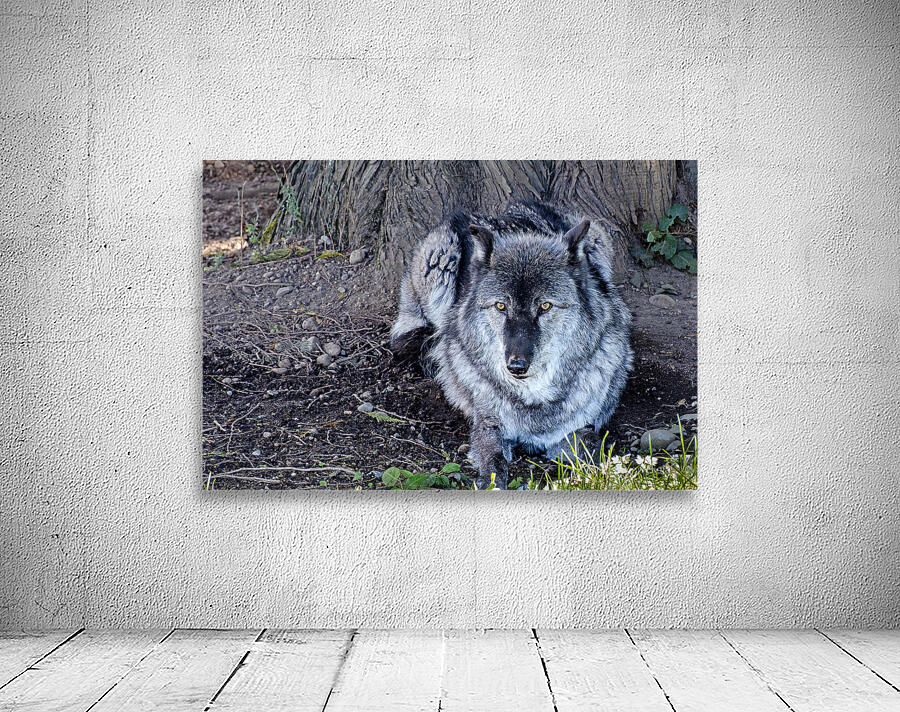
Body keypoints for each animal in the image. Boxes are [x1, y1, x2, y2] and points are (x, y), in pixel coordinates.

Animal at [390, 201, 633, 489]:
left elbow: (596, 450)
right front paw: (491, 482)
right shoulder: (488, 426)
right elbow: (494, 461)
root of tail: (499, 212)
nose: (516, 365)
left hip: (598, 237)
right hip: (440, 259)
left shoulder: (579, 428)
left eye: (545, 306)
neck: (533, 398)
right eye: (500, 306)